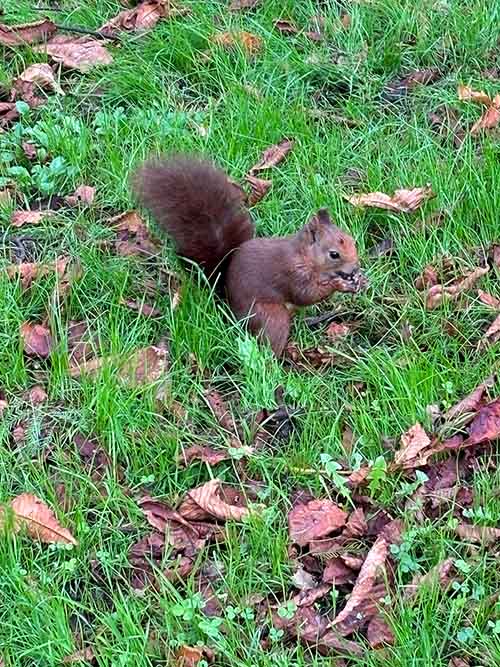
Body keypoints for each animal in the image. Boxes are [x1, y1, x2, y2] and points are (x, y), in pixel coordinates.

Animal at [132, 154, 363, 356]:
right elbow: (305, 294)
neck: (306, 257)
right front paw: (339, 285)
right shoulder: (292, 273)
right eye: (334, 254)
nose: (355, 268)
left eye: (352, 241)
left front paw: (360, 280)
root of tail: (230, 308)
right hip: (271, 316)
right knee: (271, 342)